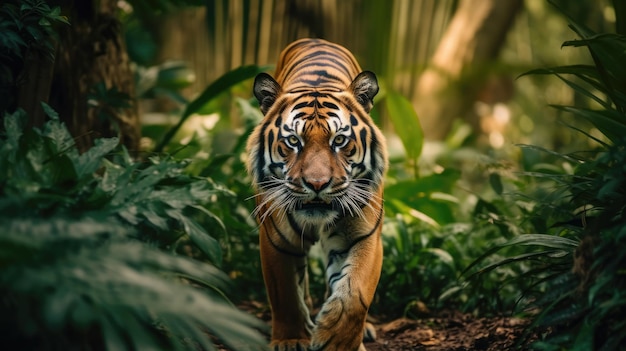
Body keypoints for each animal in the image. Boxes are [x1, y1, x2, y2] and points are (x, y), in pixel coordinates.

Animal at [244, 38, 386, 351]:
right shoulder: (276, 239)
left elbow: (355, 293)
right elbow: (285, 293)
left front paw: (337, 340)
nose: (317, 184)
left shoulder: (364, 235)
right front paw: (291, 339)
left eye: (340, 140)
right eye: (293, 141)